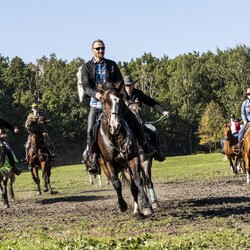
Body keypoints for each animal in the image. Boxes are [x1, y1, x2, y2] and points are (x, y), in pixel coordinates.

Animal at [91, 81, 152, 217]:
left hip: (127, 167)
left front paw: (146, 206)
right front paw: (122, 205)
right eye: (103, 101)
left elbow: (138, 181)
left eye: (119, 100)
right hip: (106, 167)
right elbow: (116, 183)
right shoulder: (109, 163)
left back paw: (137, 210)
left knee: (134, 186)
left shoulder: (133, 159)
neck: (116, 138)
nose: (115, 126)